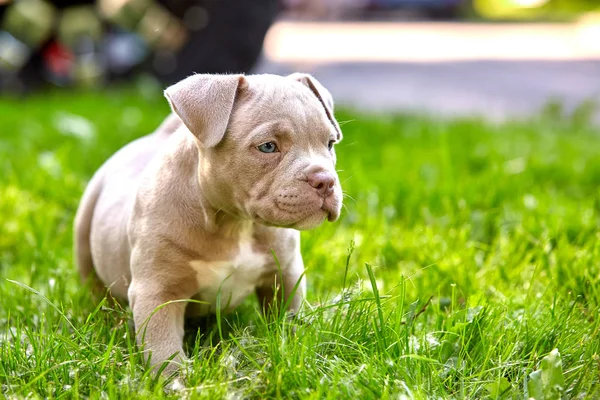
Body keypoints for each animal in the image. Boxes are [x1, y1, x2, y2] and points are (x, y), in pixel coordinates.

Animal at [72, 72, 342, 372]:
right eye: (268, 146)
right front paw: (176, 378)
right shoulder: (157, 291)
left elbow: (289, 318)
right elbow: (163, 347)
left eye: (330, 144)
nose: (325, 180)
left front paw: (294, 353)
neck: (236, 222)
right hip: (85, 230)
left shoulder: (285, 273)